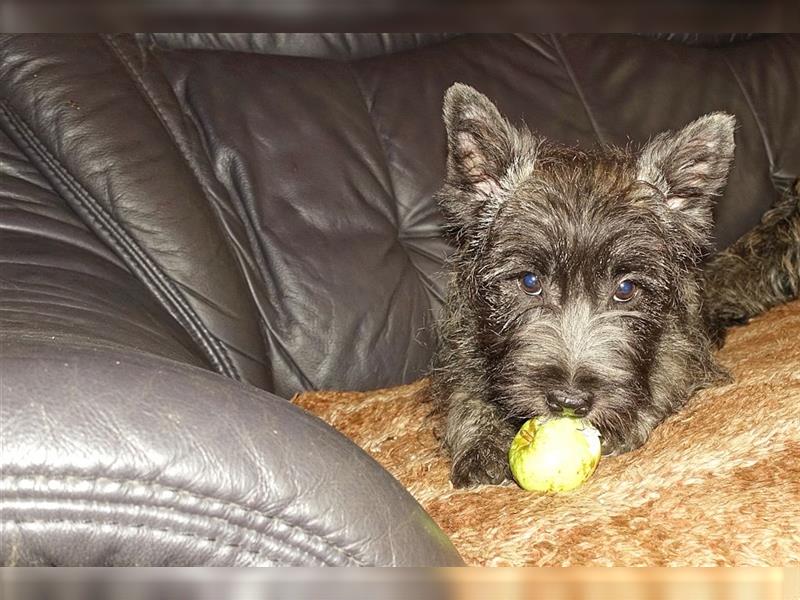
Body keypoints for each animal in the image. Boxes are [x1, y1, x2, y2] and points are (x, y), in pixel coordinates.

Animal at [432, 83, 800, 488]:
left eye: (625, 289)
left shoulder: (681, 348)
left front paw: (627, 418)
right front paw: (481, 442)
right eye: (530, 282)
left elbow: (667, 376)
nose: (569, 402)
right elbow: (464, 395)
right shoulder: (462, 347)